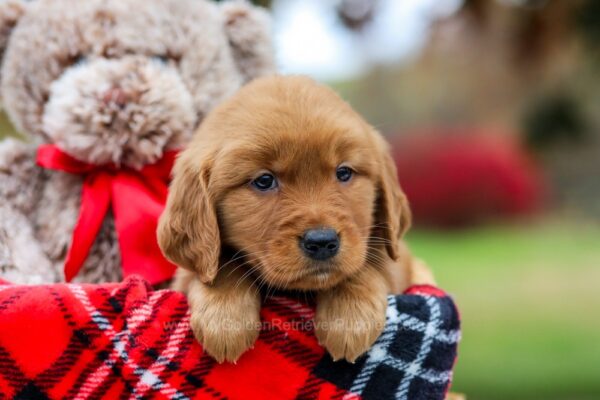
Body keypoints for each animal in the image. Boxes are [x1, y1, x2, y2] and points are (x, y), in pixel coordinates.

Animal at [157, 74, 434, 362]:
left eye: (344, 172)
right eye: (264, 180)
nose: (322, 242)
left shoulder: (401, 263)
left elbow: (368, 264)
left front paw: (349, 317)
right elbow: (221, 265)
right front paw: (225, 318)